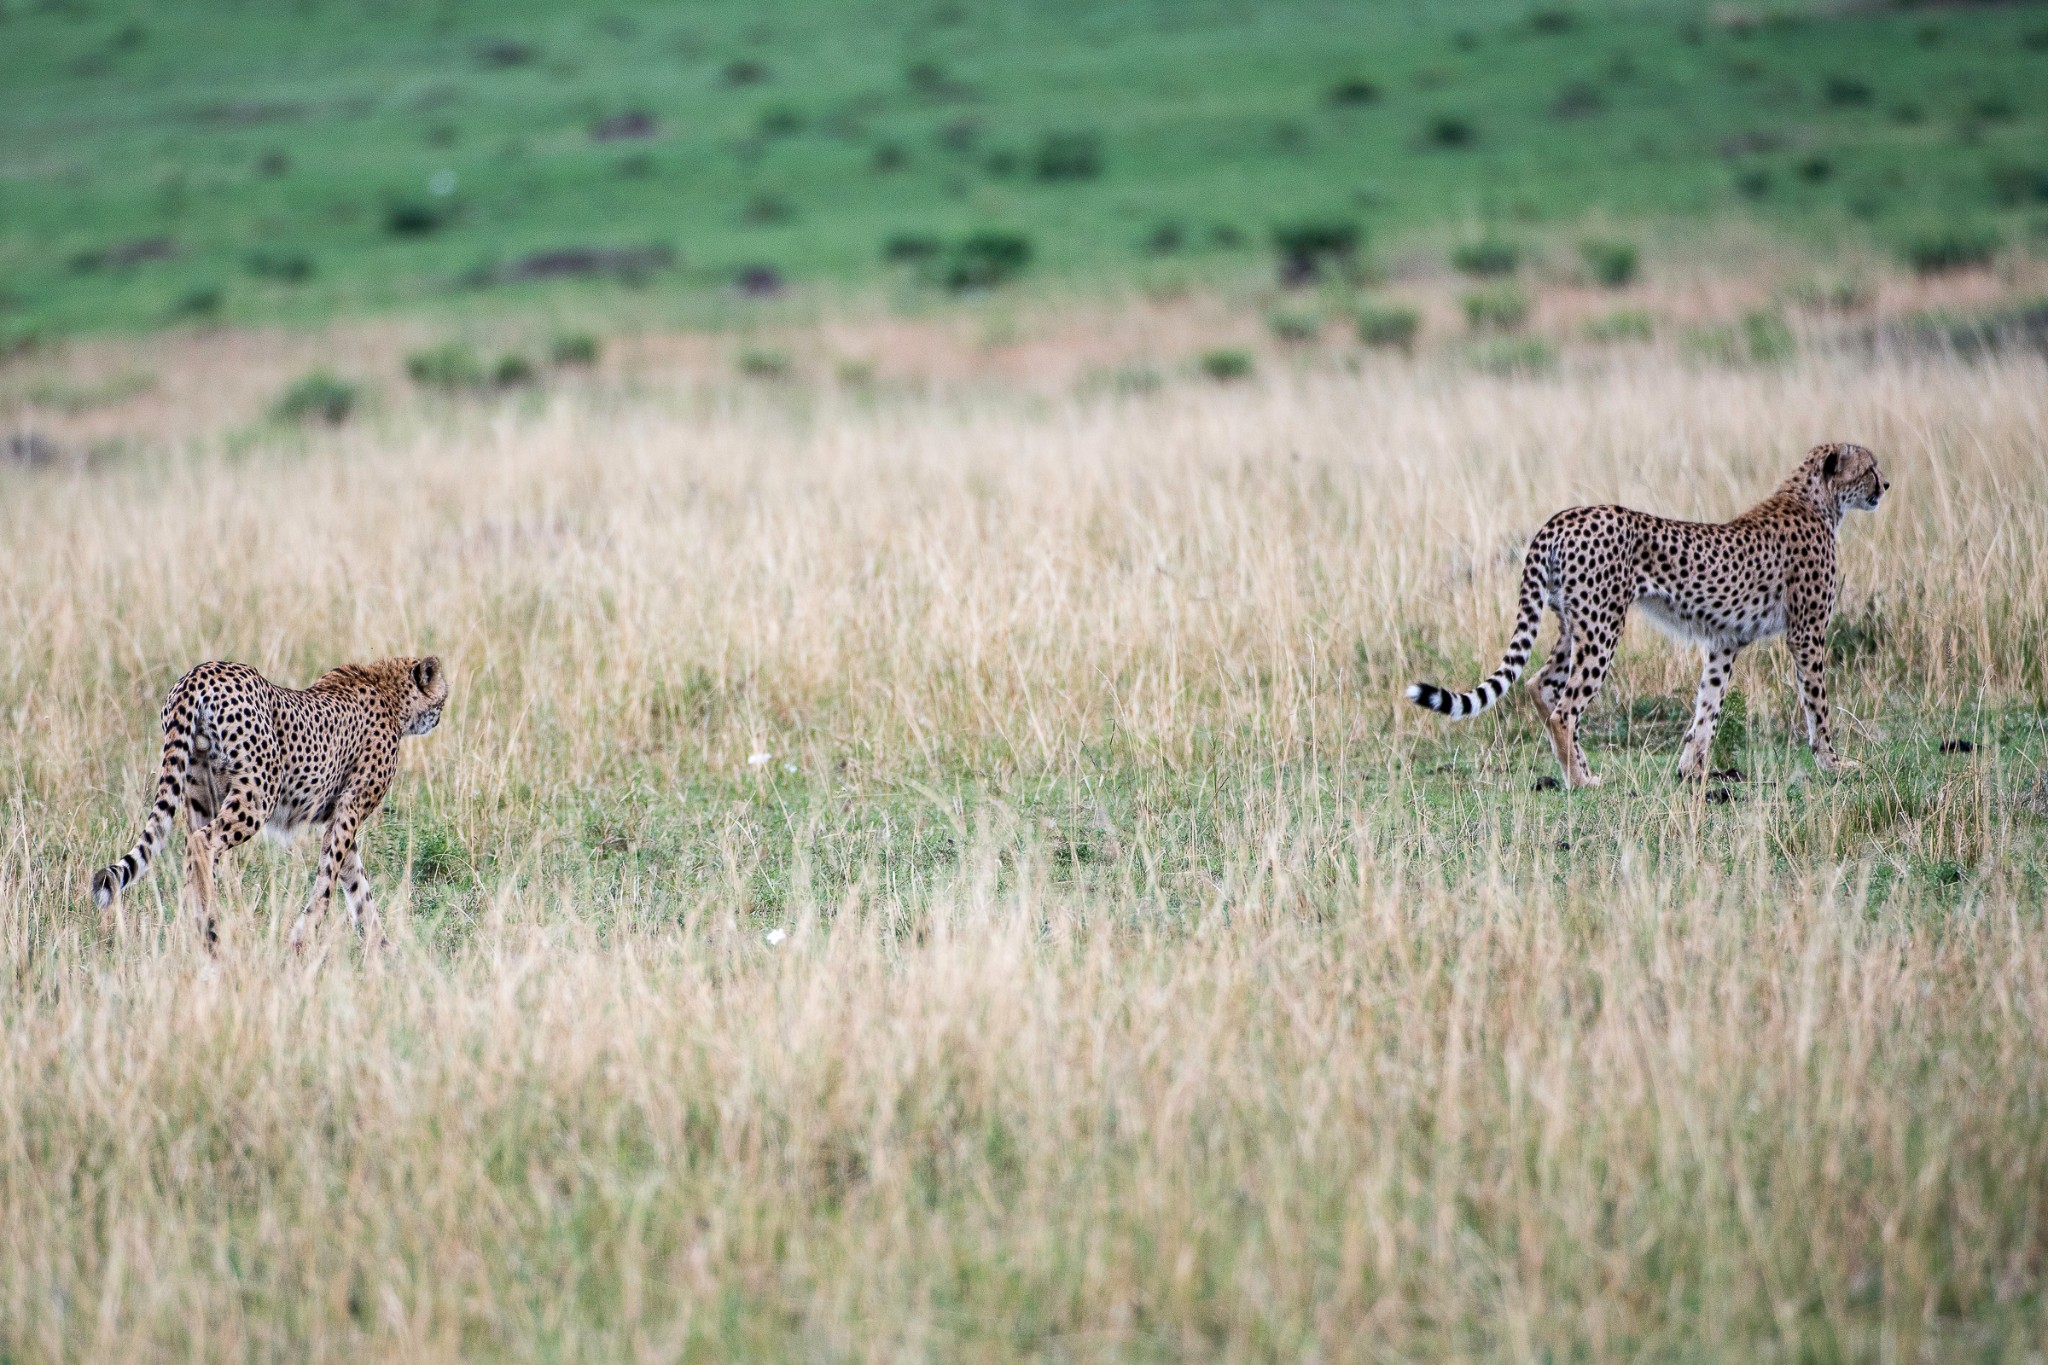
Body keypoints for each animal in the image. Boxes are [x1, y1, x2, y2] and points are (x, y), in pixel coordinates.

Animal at [93, 658, 448, 957]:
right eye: (442, 698)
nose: (441, 717)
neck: (387, 689)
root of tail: (200, 672)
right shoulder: (349, 809)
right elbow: (330, 880)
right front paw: (304, 937)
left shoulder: (337, 816)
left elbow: (357, 883)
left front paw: (383, 946)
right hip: (257, 795)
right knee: (203, 842)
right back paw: (209, 928)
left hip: (199, 793)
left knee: (193, 853)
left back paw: (194, 926)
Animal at [1409, 446, 1884, 789]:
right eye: (1870, 468)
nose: (1887, 484)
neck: (1815, 500)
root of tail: (1563, 516)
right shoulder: (1807, 632)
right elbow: (1817, 705)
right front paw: (1835, 765)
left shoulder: (1723, 642)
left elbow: (1707, 709)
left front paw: (1692, 770)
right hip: (1602, 628)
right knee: (1565, 708)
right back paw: (1579, 781)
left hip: (1575, 625)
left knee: (1540, 685)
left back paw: (1581, 770)